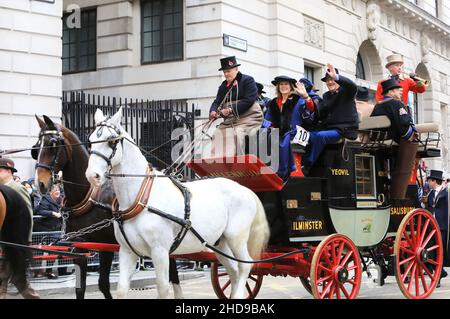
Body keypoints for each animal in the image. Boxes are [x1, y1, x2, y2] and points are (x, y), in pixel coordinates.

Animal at [34, 115, 183, 300]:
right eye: (36, 147)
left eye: (53, 144)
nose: (40, 183)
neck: (88, 195)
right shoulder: (81, 247)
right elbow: (82, 288)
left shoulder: (105, 246)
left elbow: (103, 283)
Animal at [85, 108, 268, 300]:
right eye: (90, 141)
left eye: (111, 141)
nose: (92, 175)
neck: (142, 197)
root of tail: (244, 189)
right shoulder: (127, 251)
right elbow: (121, 289)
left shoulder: (160, 251)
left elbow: (163, 288)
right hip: (220, 243)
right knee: (233, 271)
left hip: (236, 237)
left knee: (244, 266)